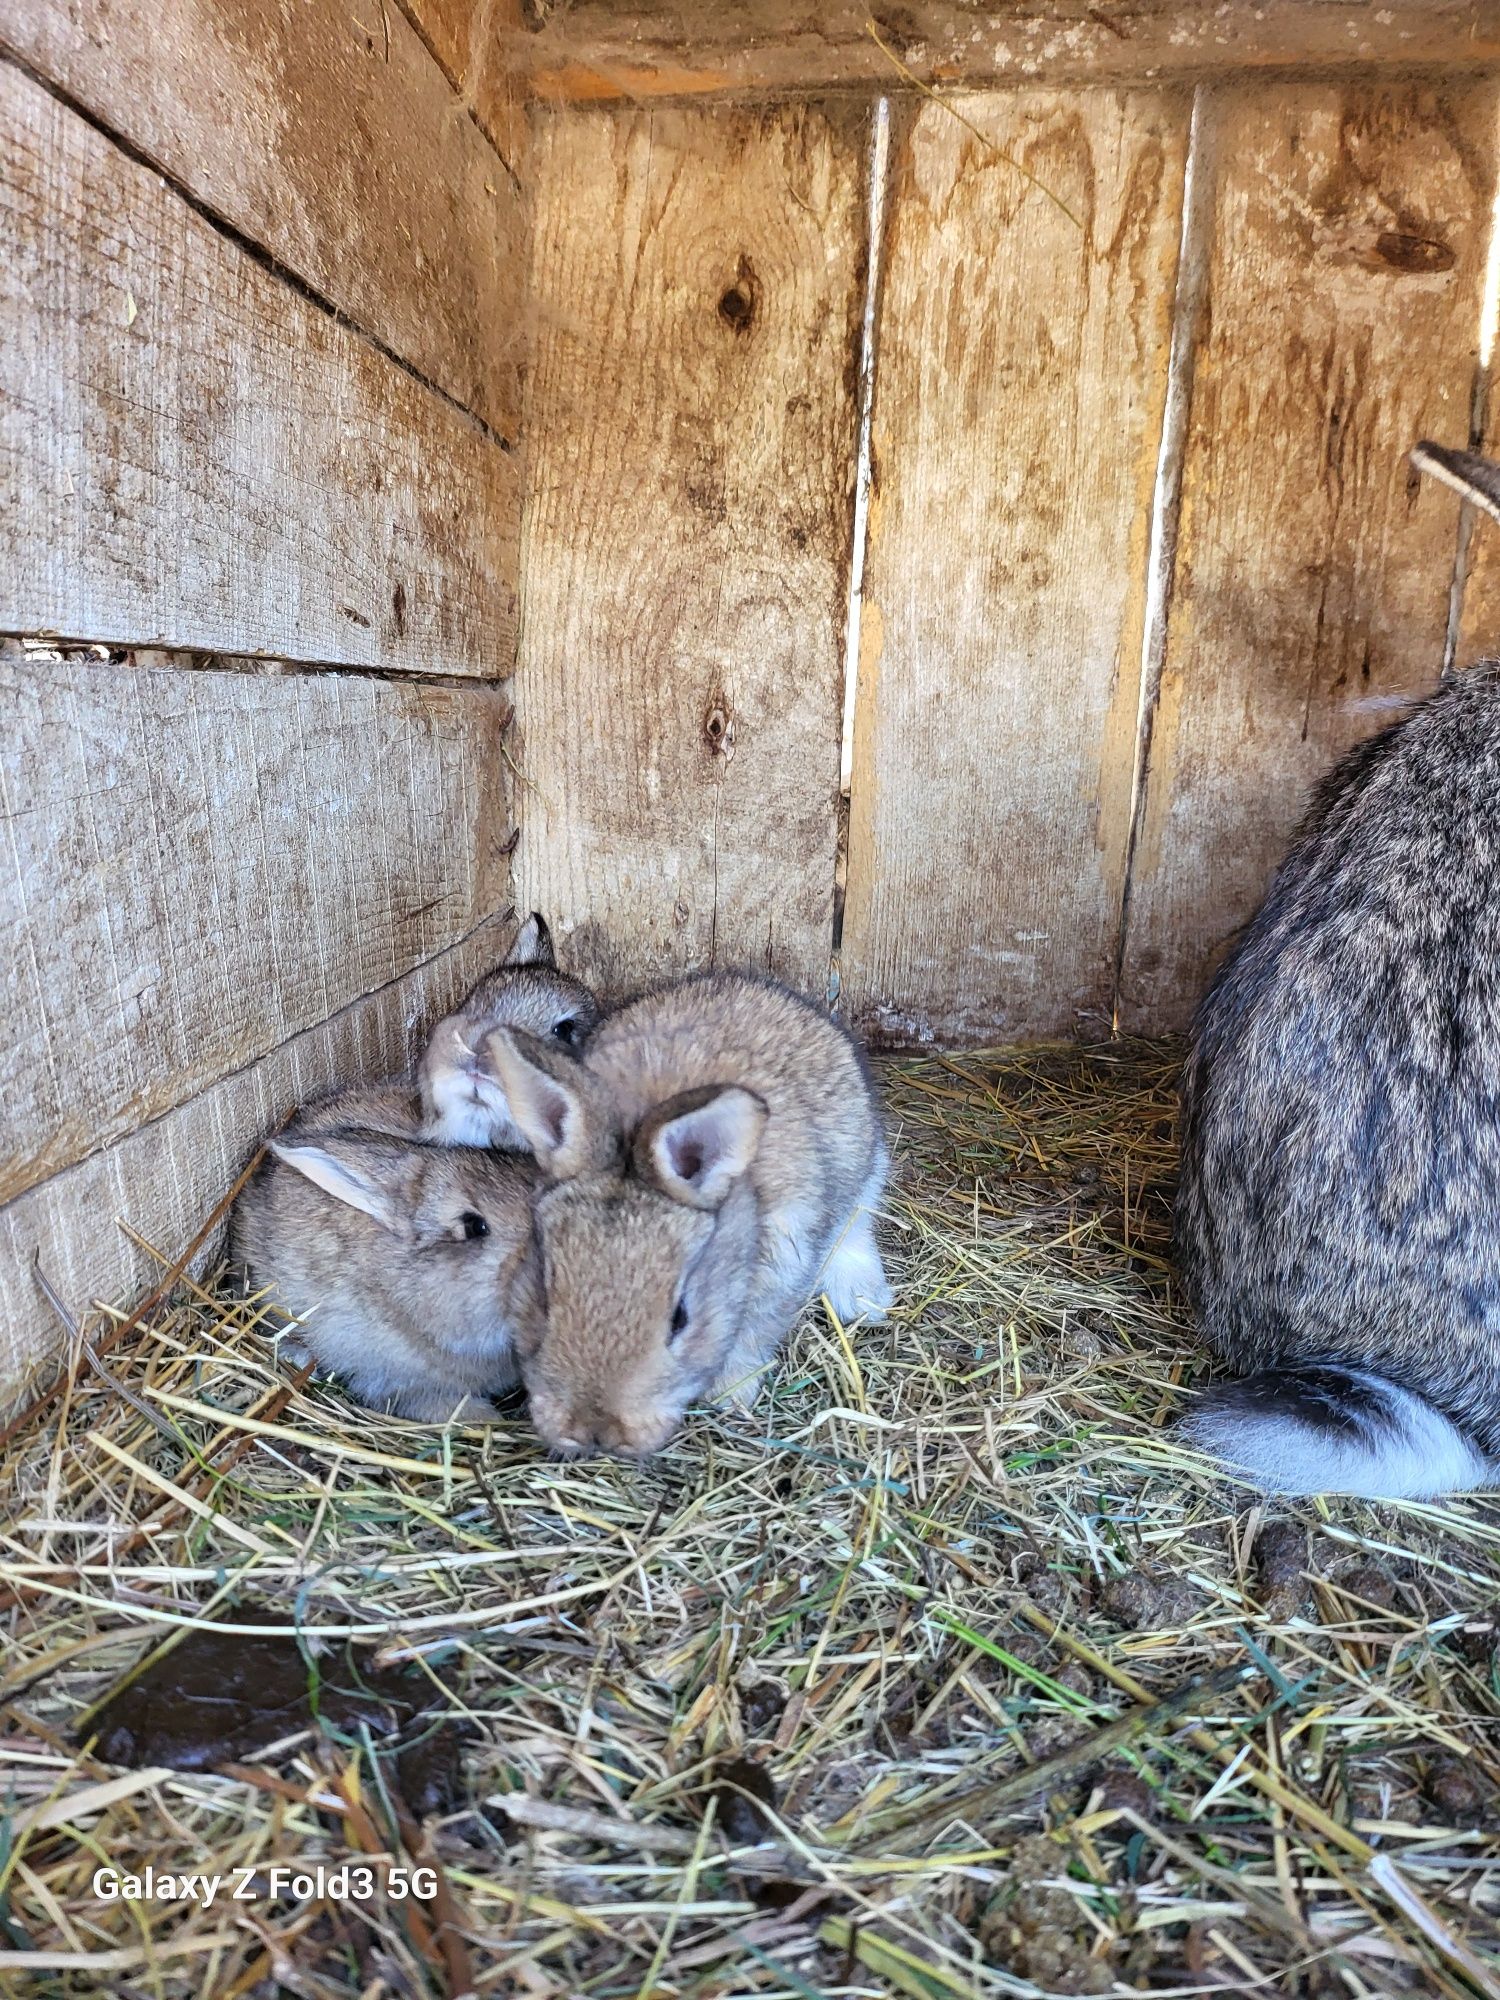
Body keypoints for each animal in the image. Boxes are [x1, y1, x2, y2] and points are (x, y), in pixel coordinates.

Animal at [482, 968, 892, 1456]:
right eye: (545, 1300)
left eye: (680, 1318)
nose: (596, 1431)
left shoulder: (783, 1271)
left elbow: (752, 1338)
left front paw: (730, 1398)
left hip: (865, 1168)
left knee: (857, 1222)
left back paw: (864, 1300)